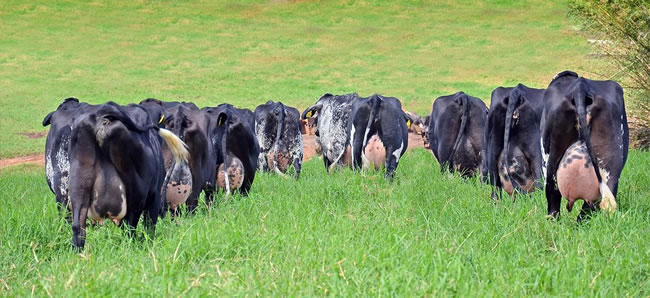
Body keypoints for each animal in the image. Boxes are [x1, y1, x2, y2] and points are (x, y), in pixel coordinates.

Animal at [66, 102, 187, 249]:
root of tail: (102, 114)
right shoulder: (155, 195)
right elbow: (150, 224)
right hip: (137, 193)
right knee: (131, 225)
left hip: (79, 184)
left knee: (78, 226)